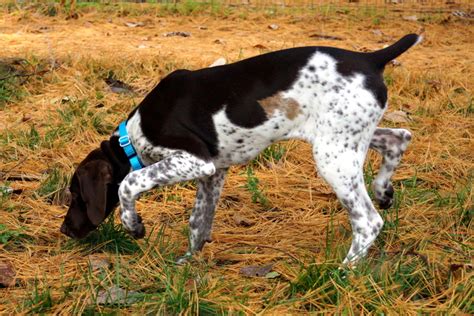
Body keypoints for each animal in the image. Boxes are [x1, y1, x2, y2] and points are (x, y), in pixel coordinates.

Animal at [61, 34, 420, 264]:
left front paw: (133, 225)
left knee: (367, 222)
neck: (132, 137)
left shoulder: (194, 161)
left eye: (77, 195)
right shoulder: (213, 172)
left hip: (334, 156)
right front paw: (187, 265)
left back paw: (343, 273)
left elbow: (129, 183)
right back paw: (383, 189)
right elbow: (198, 222)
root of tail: (370, 58)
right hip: (345, 139)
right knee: (399, 137)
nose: (65, 230)